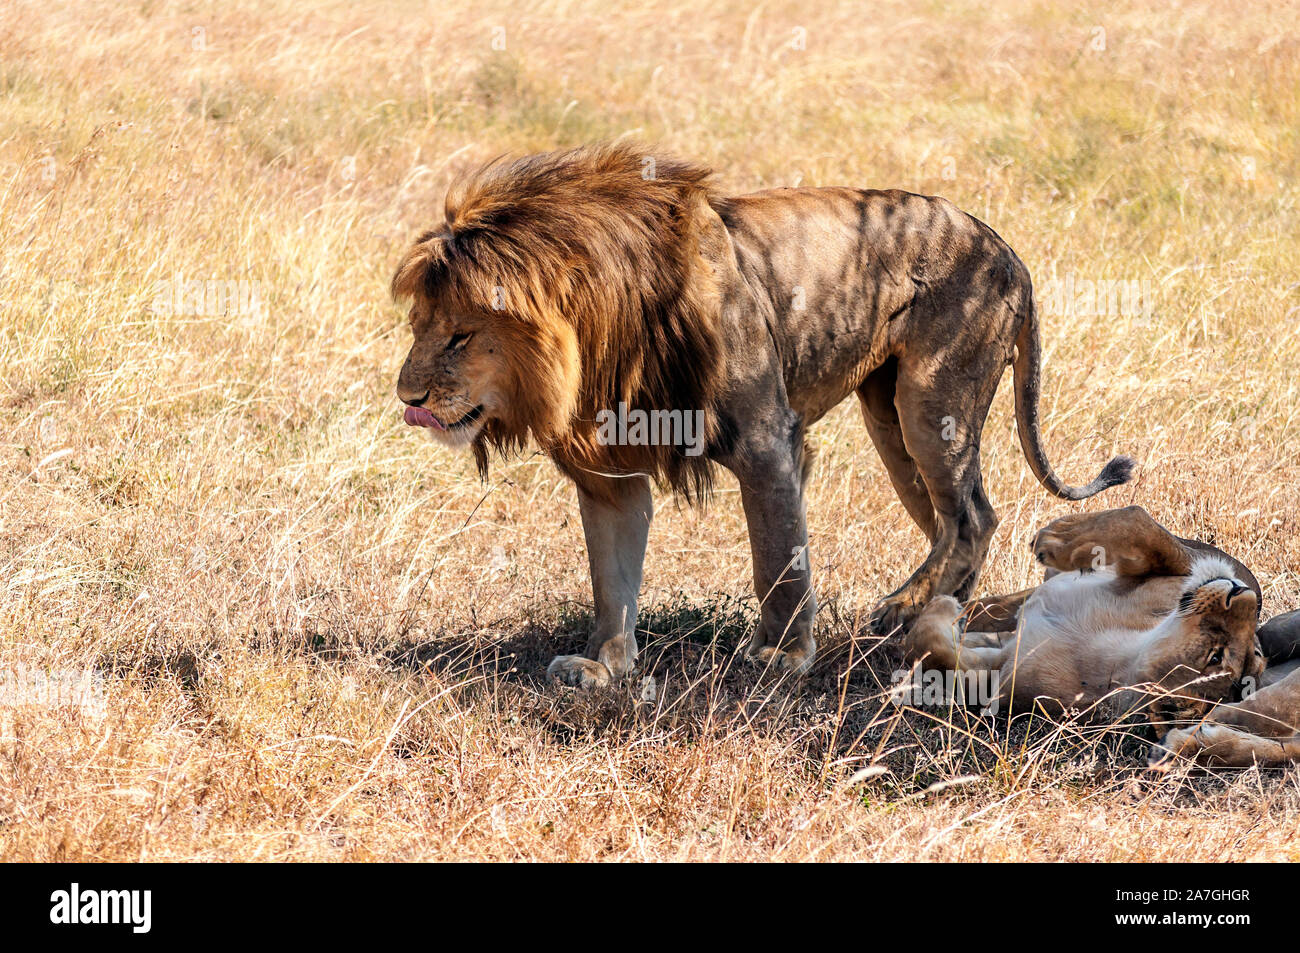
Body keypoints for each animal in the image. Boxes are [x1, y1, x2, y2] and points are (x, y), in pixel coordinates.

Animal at [390, 143, 1133, 686]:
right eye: (419, 326)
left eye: (460, 336)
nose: (407, 399)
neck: (602, 334)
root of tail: (1008, 252)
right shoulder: (610, 477)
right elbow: (612, 579)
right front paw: (605, 666)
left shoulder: (766, 443)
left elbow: (778, 558)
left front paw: (781, 656)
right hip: (890, 420)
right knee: (953, 521)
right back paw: (927, 610)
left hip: (932, 401)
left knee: (974, 513)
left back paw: (911, 616)